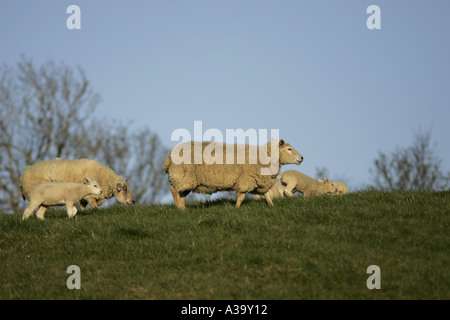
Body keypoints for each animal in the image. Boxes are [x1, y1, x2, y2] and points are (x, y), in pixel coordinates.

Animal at [163, 139, 304, 209]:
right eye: (289, 149)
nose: (302, 158)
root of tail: (169, 155)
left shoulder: (259, 182)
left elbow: (267, 195)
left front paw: (272, 206)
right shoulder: (245, 180)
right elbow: (241, 197)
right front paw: (236, 209)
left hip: (186, 180)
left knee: (180, 195)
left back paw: (183, 209)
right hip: (183, 177)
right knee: (174, 191)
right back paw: (180, 210)